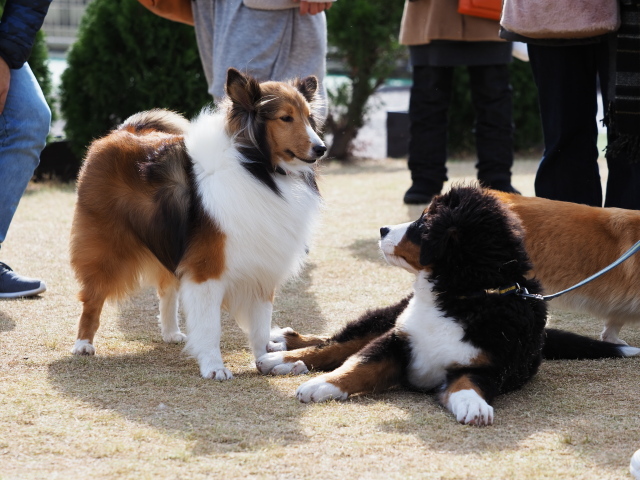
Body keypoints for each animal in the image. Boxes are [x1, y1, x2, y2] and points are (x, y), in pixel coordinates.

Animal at [70, 68, 328, 378]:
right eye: (285, 118)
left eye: (309, 118)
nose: (322, 148)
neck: (255, 168)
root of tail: (122, 130)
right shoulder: (207, 269)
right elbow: (209, 325)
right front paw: (214, 367)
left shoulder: (261, 268)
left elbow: (261, 325)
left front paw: (267, 358)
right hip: (107, 248)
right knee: (93, 297)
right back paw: (83, 344)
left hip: (168, 241)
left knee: (166, 289)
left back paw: (170, 332)